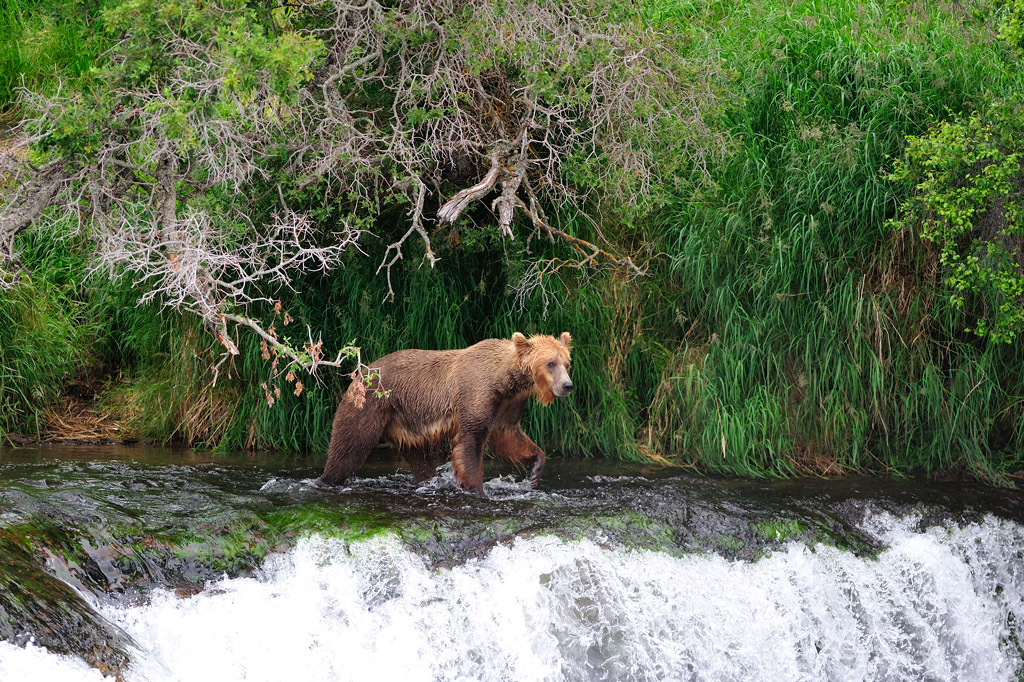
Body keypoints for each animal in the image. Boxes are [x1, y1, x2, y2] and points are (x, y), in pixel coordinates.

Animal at [317, 329, 577, 493]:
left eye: (566, 363)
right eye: (550, 363)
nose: (567, 385)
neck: (504, 380)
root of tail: (359, 375)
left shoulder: (508, 402)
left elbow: (507, 435)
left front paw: (535, 470)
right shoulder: (476, 393)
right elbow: (471, 441)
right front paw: (478, 489)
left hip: (407, 422)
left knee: (420, 457)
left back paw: (427, 481)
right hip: (370, 407)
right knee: (349, 447)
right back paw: (327, 479)